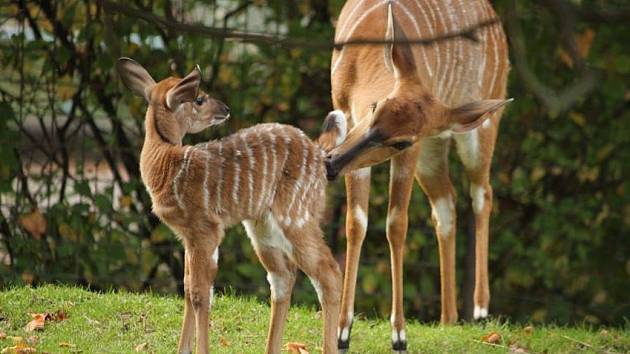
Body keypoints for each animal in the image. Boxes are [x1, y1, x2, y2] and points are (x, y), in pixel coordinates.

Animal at [328, 0, 512, 352]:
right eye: (375, 106)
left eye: (401, 140)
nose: (331, 162)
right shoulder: (347, 114)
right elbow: (356, 222)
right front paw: (342, 332)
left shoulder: (411, 151)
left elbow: (396, 224)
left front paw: (399, 335)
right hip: (434, 148)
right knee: (446, 203)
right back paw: (448, 318)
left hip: (477, 130)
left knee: (482, 193)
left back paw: (480, 309)